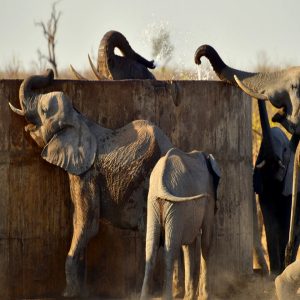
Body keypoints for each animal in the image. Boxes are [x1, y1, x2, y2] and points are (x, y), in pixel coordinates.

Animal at [8, 69, 171, 296]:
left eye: (43, 110)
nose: (50, 72)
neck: (79, 121)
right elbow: (79, 219)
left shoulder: (87, 173)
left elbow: (87, 224)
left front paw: (69, 295)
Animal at [139, 148, 219, 300]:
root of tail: (161, 184)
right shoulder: (209, 196)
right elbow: (206, 241)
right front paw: (203, 296)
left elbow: (187, 246)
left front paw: (189, 297)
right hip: (175, 205)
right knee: (170, 249)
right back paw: (168, 296)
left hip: (155, 203)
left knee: (152, 248)